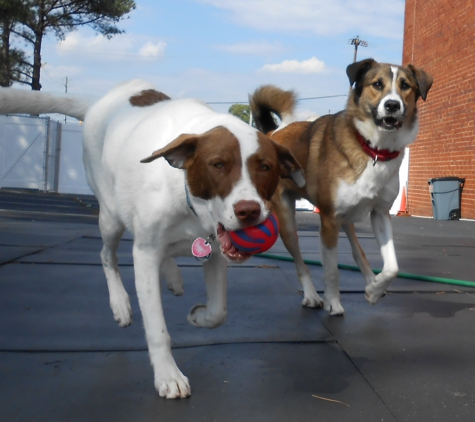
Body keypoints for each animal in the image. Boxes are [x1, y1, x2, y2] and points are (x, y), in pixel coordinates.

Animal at [0, 80, 304, 398]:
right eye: (218, 165)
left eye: (265, 166)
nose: (249, 211)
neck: (190, 204)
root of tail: (98, 103)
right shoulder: (145, 253)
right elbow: (157, 328)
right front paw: (168, 375)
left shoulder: (214, 251)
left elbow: (219, 312)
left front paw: (199, 317)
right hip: (111, 215)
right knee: (106, 255)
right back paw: (120, 303)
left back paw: (172, 277)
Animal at [251, 60, 434, 316]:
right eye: (377, 84)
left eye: (405, 85)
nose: (392, 105)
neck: (373, 149)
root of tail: (272, 134)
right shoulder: (328, 220)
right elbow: (331, 270)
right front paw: (333, 303)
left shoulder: (380, 213)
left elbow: (392, 267)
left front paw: (374, 289)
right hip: (287, 222)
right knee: (300, 262)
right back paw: (312, 296)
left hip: (347, 216)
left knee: (358, 250)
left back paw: (370, 281)